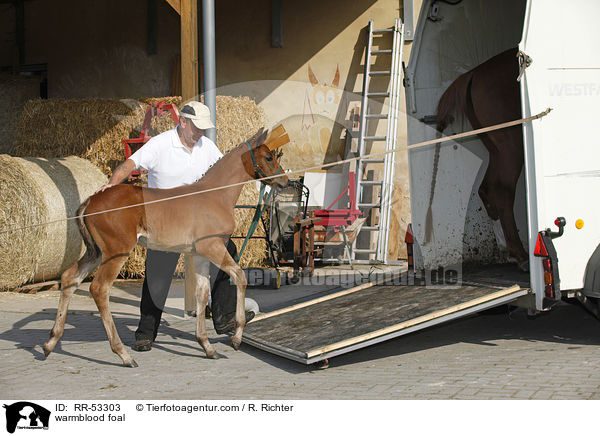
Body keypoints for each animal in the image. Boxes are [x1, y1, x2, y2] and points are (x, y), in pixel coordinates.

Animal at [424, 46, 528, 268]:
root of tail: (473, 74)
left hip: (496, 147)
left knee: (487, 189)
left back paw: (507, 248)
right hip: (512, 143)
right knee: (501, 190)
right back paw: (520, 254)